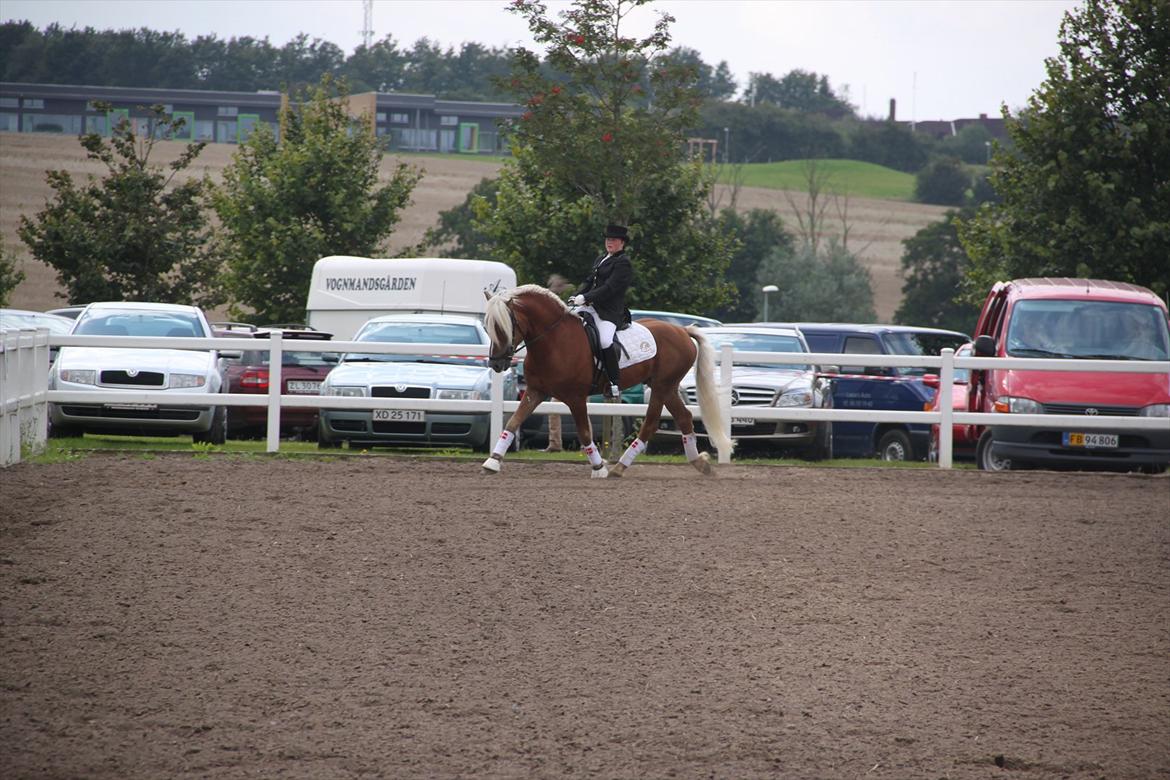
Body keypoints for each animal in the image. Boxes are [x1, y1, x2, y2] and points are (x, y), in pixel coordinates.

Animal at [477, 286, 730, 479]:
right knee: (684, 417)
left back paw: (619, 467)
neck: (553, 340)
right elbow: (513, 422)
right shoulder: (535, 391)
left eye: (503, 326)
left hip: (662, 386)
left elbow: (585, 433)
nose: (497, 364)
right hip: (666, 387)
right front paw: (492, 462)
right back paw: (700, 463)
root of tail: (683, 331)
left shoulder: (576, 398)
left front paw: (599, 468)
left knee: (650, 423)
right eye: (487, 326)